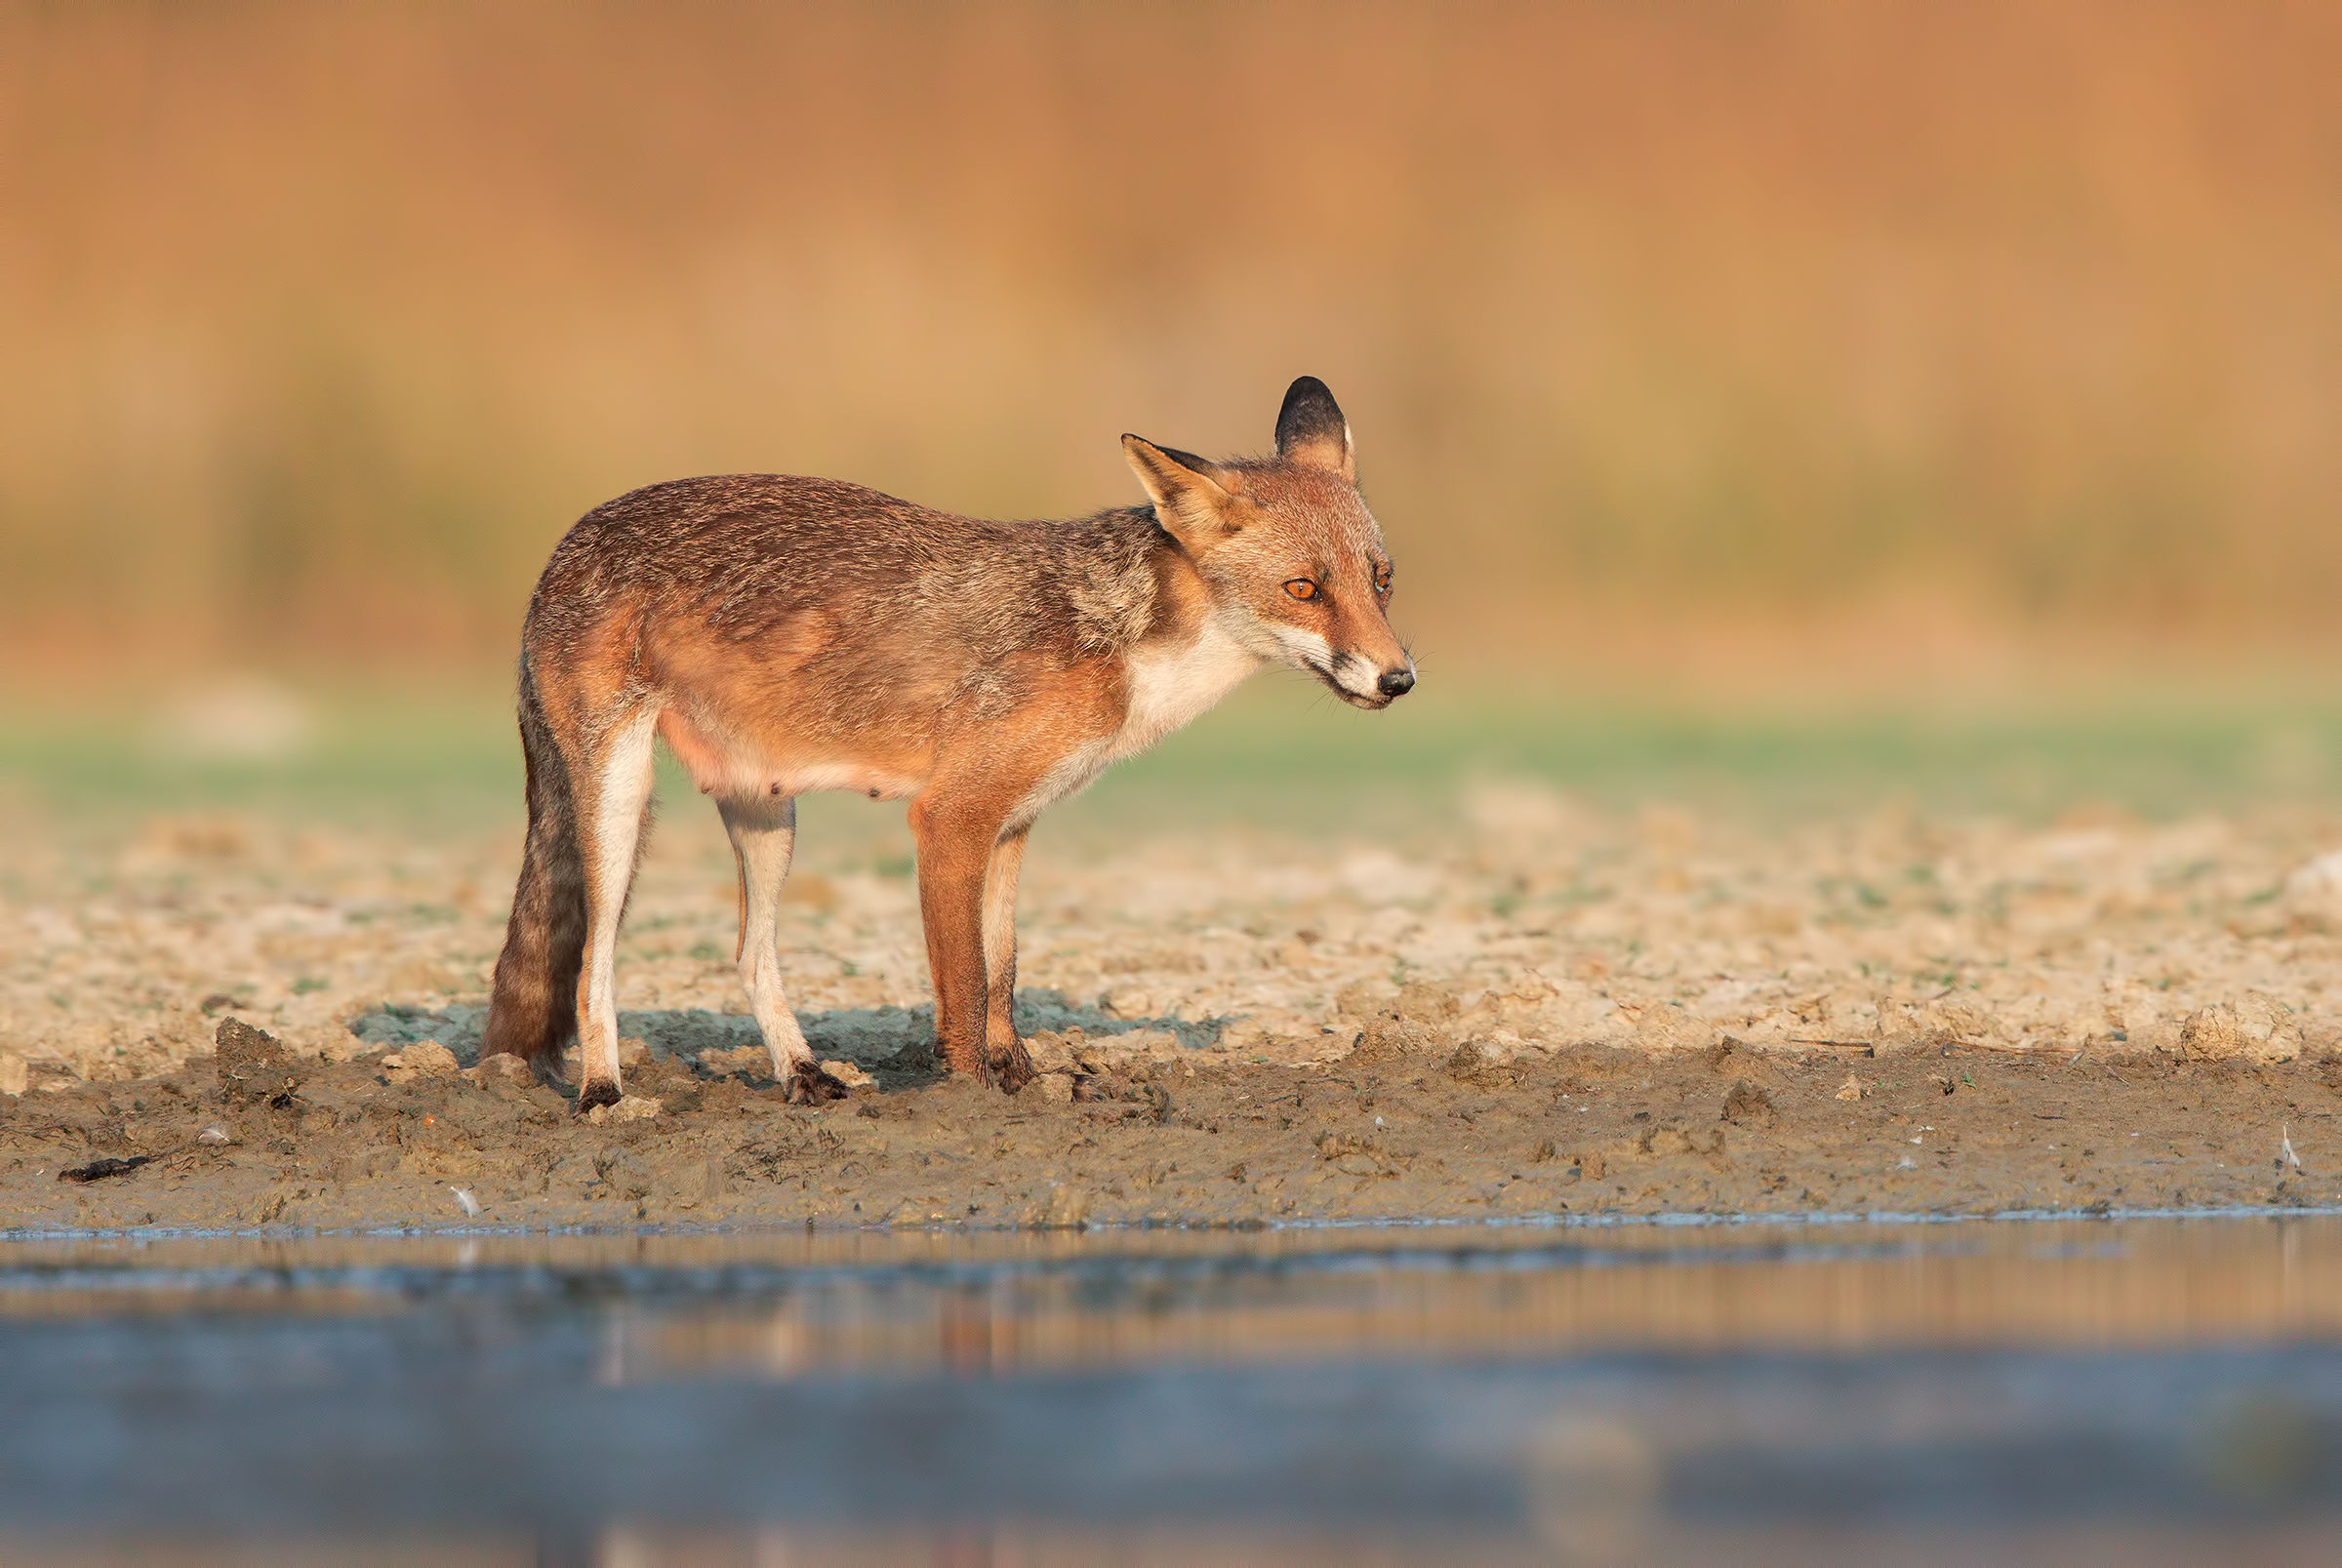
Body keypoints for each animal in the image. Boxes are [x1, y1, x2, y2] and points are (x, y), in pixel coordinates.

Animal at [479, 376, 1414, 1111]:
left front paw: (1023, 1078)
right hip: (619, 803)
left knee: (747, 952)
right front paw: (971, 1095)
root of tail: (564, 545)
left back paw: (801, 1074)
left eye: (1381, 580)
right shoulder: (950, 818)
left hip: (767, 815)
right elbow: (962, 986)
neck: (1117, 644)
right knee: (593, 960)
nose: (1398, 679)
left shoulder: (1015, 823)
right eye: (1304, 589)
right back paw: (604, 1092)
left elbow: (1004, 971)